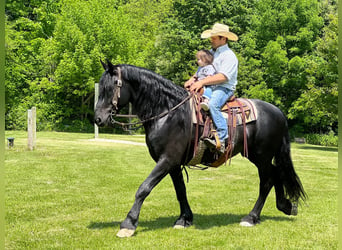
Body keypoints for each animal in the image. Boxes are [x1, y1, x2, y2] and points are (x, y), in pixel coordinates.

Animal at [95, 61, 306, 237]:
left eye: (111, 87)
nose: (98, 118)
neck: (168, 113)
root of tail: (278, 112)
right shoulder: (173, 164)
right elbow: (180, 190)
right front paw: (184, 219)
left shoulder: (167, 160)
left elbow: (144, 188)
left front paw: (128, 224)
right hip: (260, 157)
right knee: (276, 174)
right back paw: (285, 206)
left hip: (261, 156)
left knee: (267, 180)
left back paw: (251, 217)